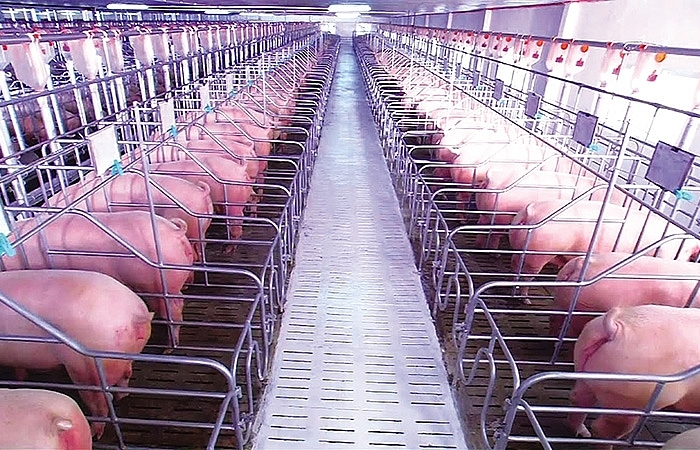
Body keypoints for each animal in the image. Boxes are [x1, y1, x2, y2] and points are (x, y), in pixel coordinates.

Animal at [0, 270, 153, 438]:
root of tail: (135, 316)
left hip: (85, 370)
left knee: (100, 403)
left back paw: (95, 433)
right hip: (123, 359)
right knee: (125, 377)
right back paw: (121, 397)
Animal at [509, 200, 700, 298]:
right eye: (687, 254)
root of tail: (530, 211)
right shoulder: (665, 253)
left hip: (520, 247)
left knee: (515, 263)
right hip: (538, 254)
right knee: (527, 275)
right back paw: (526, 299)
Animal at [569, 305, 700, 443]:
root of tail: (615, 328)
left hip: (585, 368)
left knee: (579, 399)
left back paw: (583, 433)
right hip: (632, 399)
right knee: (604, 429)